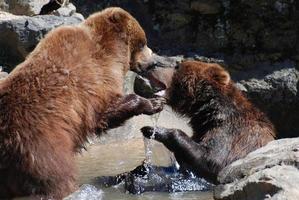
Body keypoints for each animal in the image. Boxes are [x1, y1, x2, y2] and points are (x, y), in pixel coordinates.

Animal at [0, 7, 164, 199]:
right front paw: (154, 103)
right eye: (143, 43)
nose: (153, 62)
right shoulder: (94, 78)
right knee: (56, 179)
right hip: (39, 148)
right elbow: (104, 112)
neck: (113, 51)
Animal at [141, 60, 276, 183]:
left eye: (177, 66)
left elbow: (213, 160)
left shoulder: (231, 133)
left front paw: (153, 130)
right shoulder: (202, 129)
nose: (152, 65)